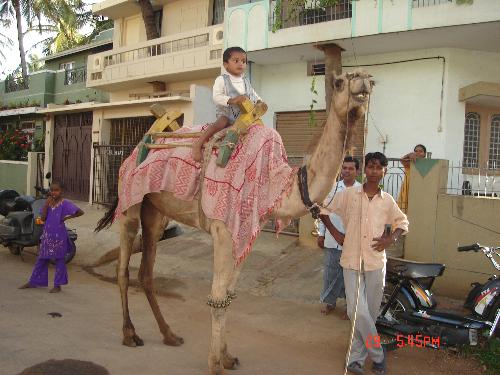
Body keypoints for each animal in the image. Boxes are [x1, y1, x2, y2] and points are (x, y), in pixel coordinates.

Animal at [95, 71, 374, 375]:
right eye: (340, 82)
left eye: (368, 80)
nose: (363, 80)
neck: (275, 183)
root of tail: (133, 151)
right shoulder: (223, 230)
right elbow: (217, 297)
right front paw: (215, 364)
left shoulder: (246, 233)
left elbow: (229, 295)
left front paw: (227, 357)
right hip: (130, 203)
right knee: (123, 268)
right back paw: (130, 334)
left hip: (155, 213)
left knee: (146, 272)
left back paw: (169, 334)